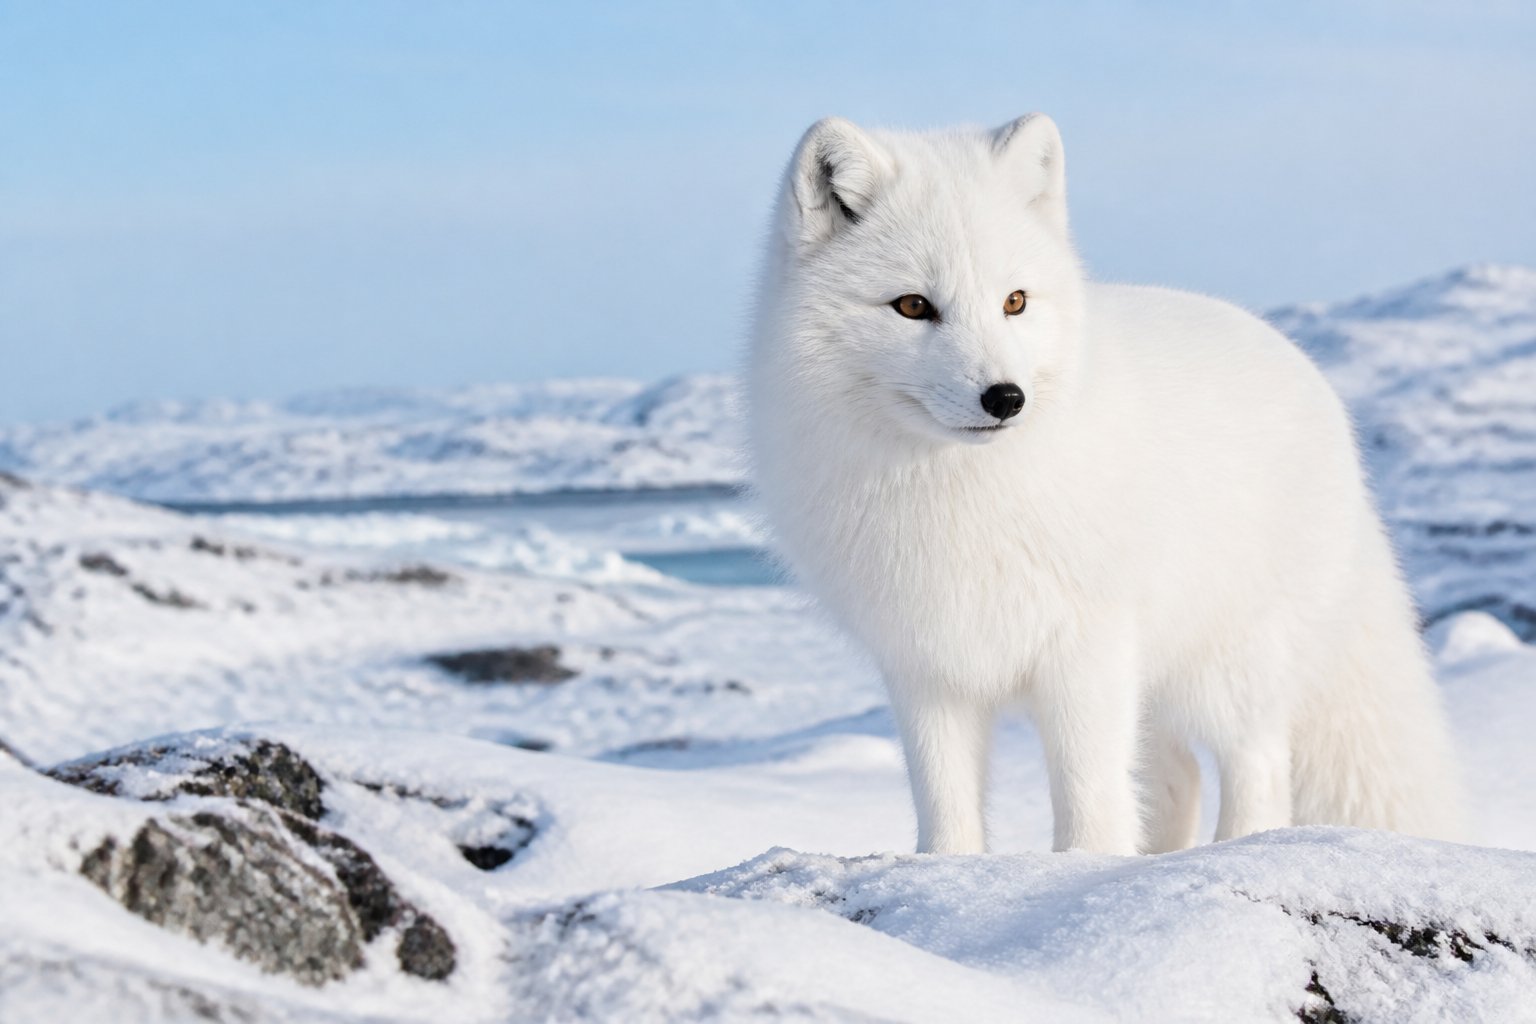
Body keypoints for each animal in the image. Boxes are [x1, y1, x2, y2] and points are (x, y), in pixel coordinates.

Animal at [746, 114, 1463, 855]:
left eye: (1015, 301)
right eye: (913, 306)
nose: (1006, 398)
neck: (956, 487)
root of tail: (1311, 374)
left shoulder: (1086, 647)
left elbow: (1090, 793)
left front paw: (1086, 866)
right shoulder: (926, 665)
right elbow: (945, 804)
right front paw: (949, 870)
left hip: (1230, 665)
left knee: (1259, 765)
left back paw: (1236, 850)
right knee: (1178, 776)